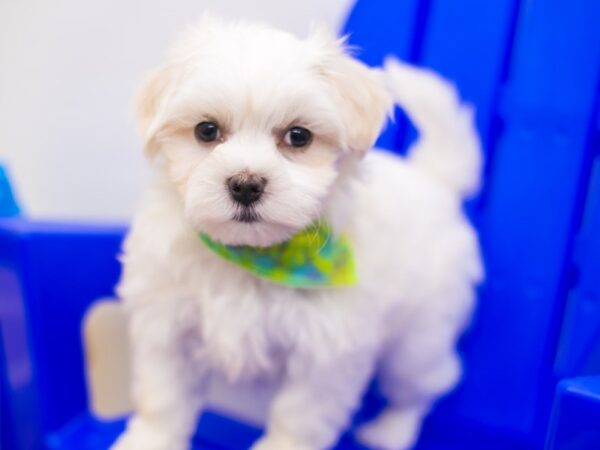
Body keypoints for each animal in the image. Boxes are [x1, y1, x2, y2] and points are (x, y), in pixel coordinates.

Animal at [111, 14, 482, 450]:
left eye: (298, 136)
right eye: (206, 131)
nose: (246, 184)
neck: (253, 256)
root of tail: (436, 181)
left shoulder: (326, 355)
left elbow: (299, 415)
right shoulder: (166, 325)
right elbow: (164, 398)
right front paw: (148, 440)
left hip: (420, 336)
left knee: (423, 385)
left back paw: (391, 430)